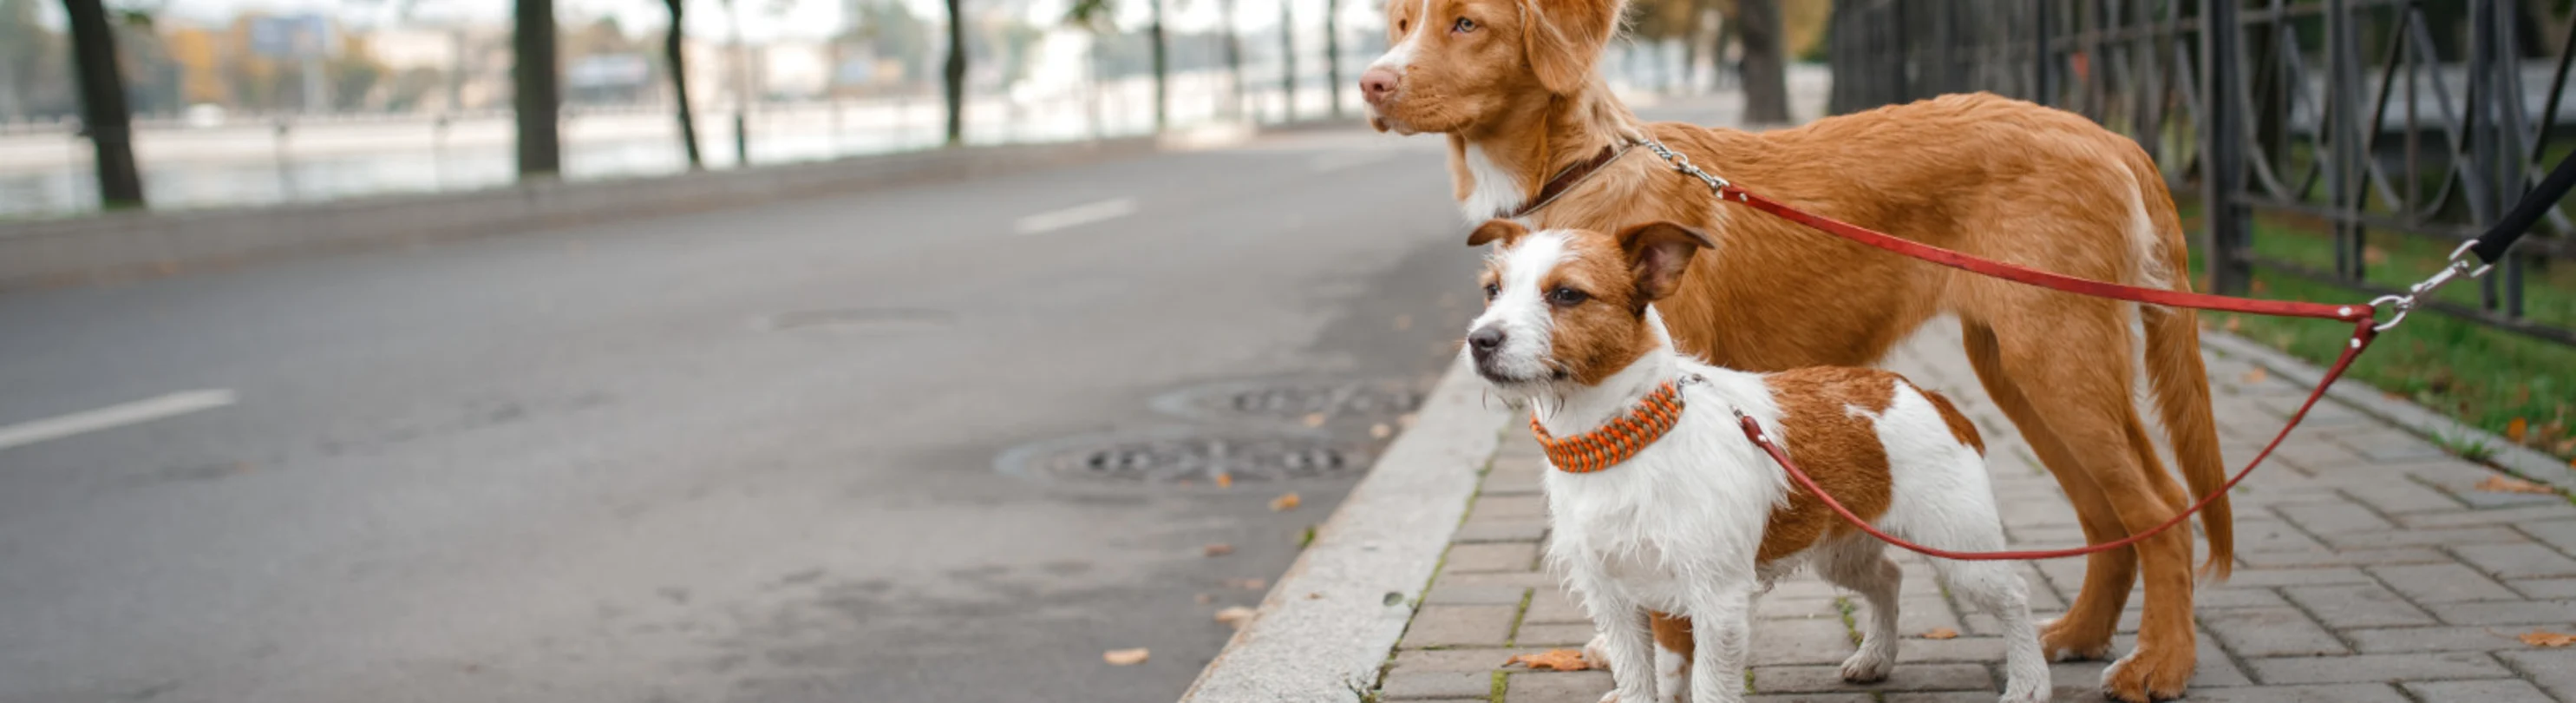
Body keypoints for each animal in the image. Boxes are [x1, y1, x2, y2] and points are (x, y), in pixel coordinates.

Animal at [1473, 219, 2050, 700]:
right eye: (1492, 290)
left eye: (1567, 294)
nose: (1480, 340)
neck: (1621, 440)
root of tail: (1926, 393)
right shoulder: (1614, 599)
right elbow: (1641, 675)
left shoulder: (1718, 602)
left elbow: (1710, 686)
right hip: (1841, 548)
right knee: (1888, 578)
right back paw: (1875, 657)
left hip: (1962, 551)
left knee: (2016, 599)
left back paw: (2030, 681)